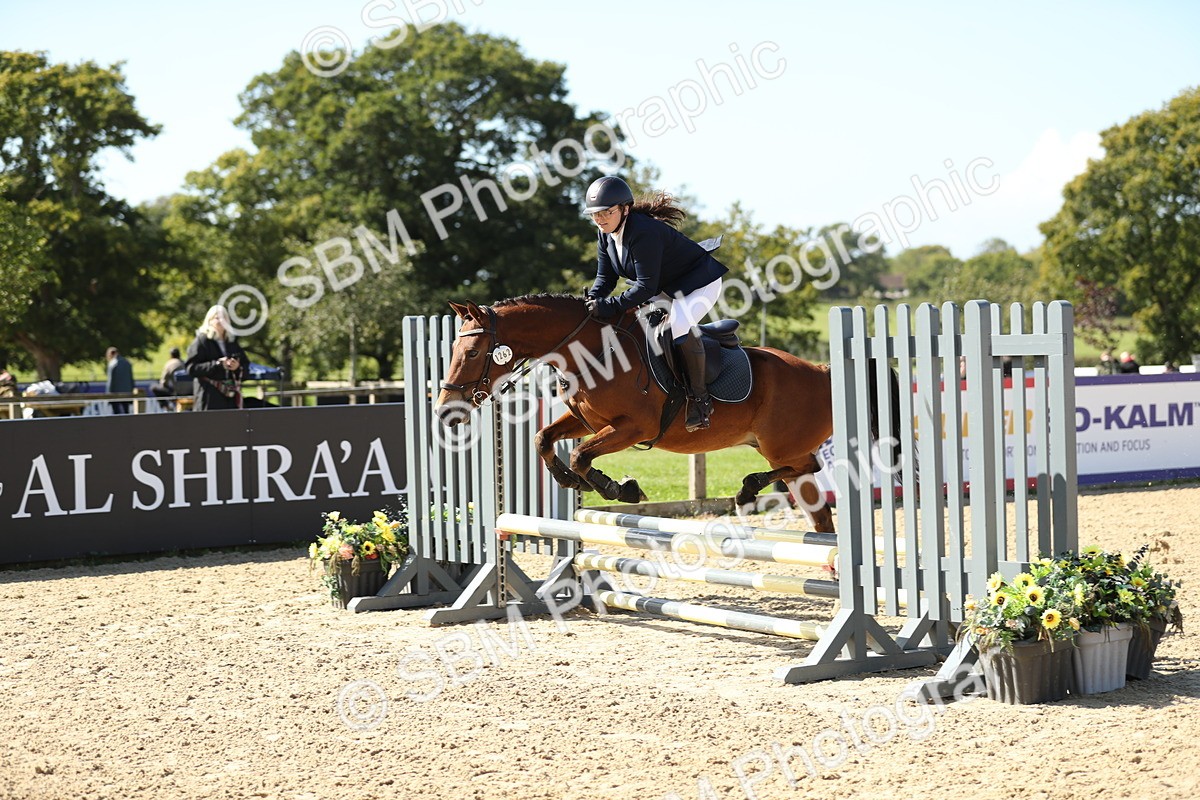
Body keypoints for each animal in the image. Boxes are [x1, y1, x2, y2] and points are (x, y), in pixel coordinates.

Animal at [434, 295, 895, 533]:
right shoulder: (587, 421)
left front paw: (621, 488)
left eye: (471, 353)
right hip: (778, 448)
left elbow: (582, 455)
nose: (445, 412)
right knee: (815, 501)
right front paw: (572, 482)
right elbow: (543, 439)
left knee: (810, 463)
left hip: (782, 444)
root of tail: (822, 370)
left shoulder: (632, 427)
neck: (592, 350)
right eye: (453, 349)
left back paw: (746, 491)